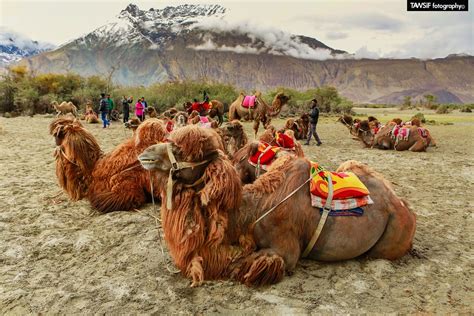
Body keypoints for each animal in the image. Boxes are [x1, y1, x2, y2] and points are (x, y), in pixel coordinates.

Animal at [137, 125, 414, 286]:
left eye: (184, 151)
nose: (145, 154)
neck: (253, 210)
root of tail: (403, 206)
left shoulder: (285, 251)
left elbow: (242, 266)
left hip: (390, 240)